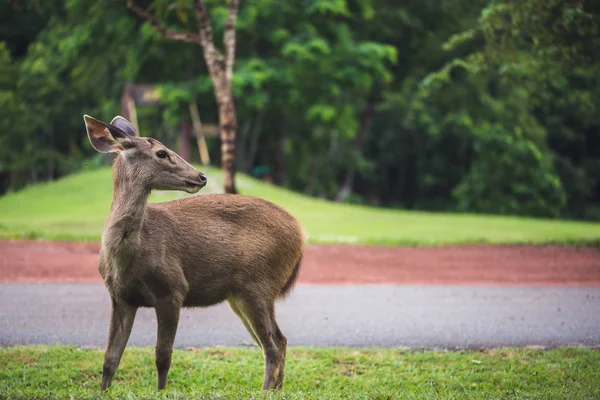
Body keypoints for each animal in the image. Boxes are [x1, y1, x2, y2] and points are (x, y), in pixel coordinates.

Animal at [83, 113, 304, 390]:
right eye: (161, 153)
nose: (201, 176)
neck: (126, 256)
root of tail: (301, 235)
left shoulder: (173, 289)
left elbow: (163, 356)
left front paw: (161, 391)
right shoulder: (121, 296)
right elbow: (110, 357)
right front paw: (103, 389)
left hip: (259, 283)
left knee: (273, 343)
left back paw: (265, 390)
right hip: (239, 295)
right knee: (278, 341)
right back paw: (277, 389)